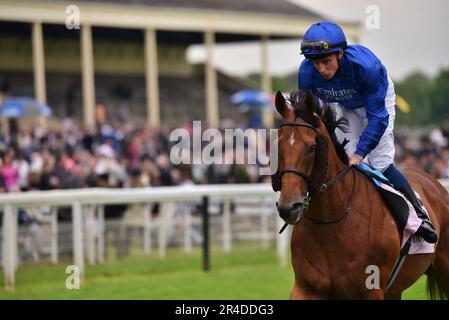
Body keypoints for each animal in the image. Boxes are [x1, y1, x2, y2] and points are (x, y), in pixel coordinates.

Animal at [272, 89, 448, 300]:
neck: (332, 220)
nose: (288, 207)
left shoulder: (371, 289)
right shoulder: (305, 287)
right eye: (277, 146)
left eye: (312, 147)